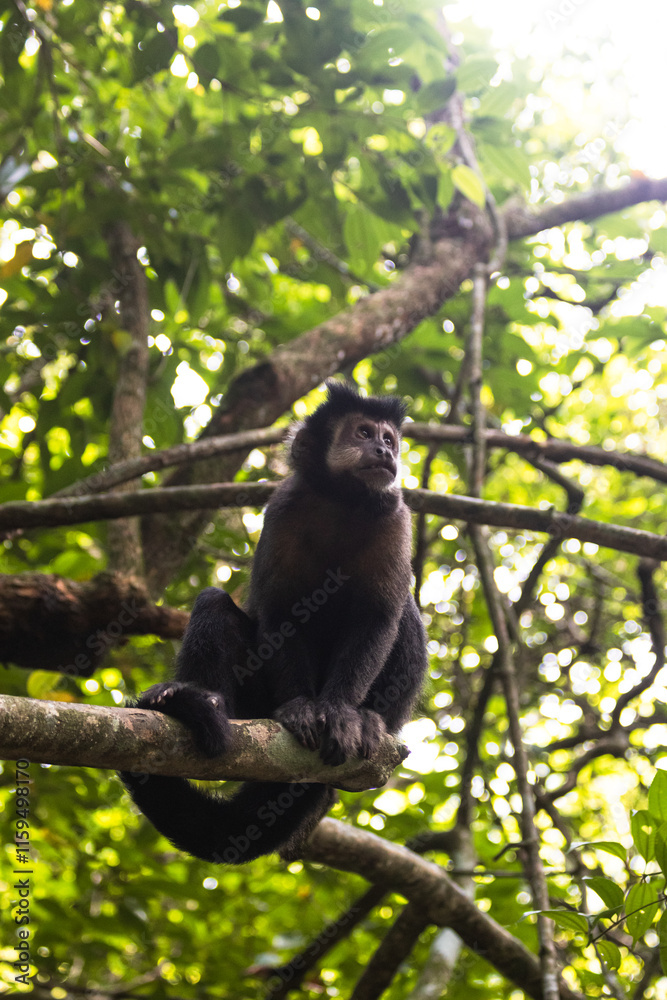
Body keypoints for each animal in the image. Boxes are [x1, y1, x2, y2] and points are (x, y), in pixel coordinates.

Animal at [121, 380, 428, 864]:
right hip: (255, 701)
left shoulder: (395, 517)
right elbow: (282, 614)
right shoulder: (283, 509)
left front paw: (341, 713)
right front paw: (302, 707)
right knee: (213, 604)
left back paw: (371, 720)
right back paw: (201, 702)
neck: (343, 501)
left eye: (389, 439)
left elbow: (377, 619)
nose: (383, 449)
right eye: (362, 433)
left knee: (406, 616)